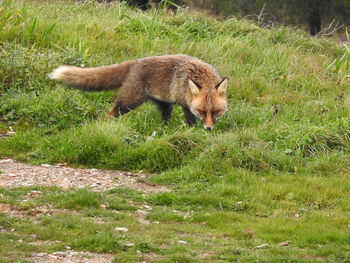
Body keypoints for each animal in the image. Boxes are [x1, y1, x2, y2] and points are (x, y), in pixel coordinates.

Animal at [50, 54, 230, 131]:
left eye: (216, 111)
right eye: (202, 111)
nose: (208, 129)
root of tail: (136, 61)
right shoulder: (185, 105)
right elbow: (190, 122)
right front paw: (192, 132)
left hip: (165, 105)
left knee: (164, 119)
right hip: (129, 102)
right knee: (111, 112)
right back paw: (106, 125)